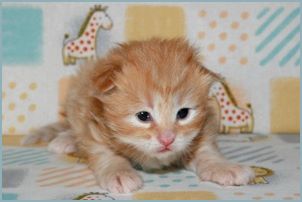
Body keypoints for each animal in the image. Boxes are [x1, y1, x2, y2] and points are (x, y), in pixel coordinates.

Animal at [24, 38, 255, 194]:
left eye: (183, 113)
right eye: (143, 116)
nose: (167, 139)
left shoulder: (205, 125)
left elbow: (206, 151)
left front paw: (223, 167)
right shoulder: (91, 121)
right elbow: (106, 154)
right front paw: (118, 173)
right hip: (76, 96)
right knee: (73, 126)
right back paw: (66, 139)